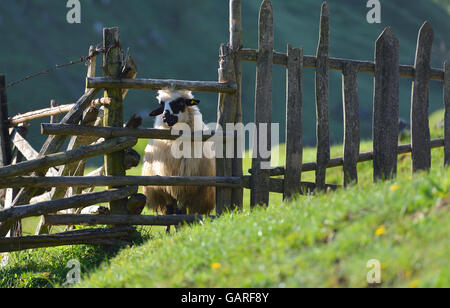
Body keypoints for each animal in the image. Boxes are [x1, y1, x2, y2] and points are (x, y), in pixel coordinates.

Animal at [142, 90, 216, 218]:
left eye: (181, 103)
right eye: (161, 104)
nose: (165, 117)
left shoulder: (186, 187)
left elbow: (180, 211)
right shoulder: (164, 186)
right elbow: (169, 210)